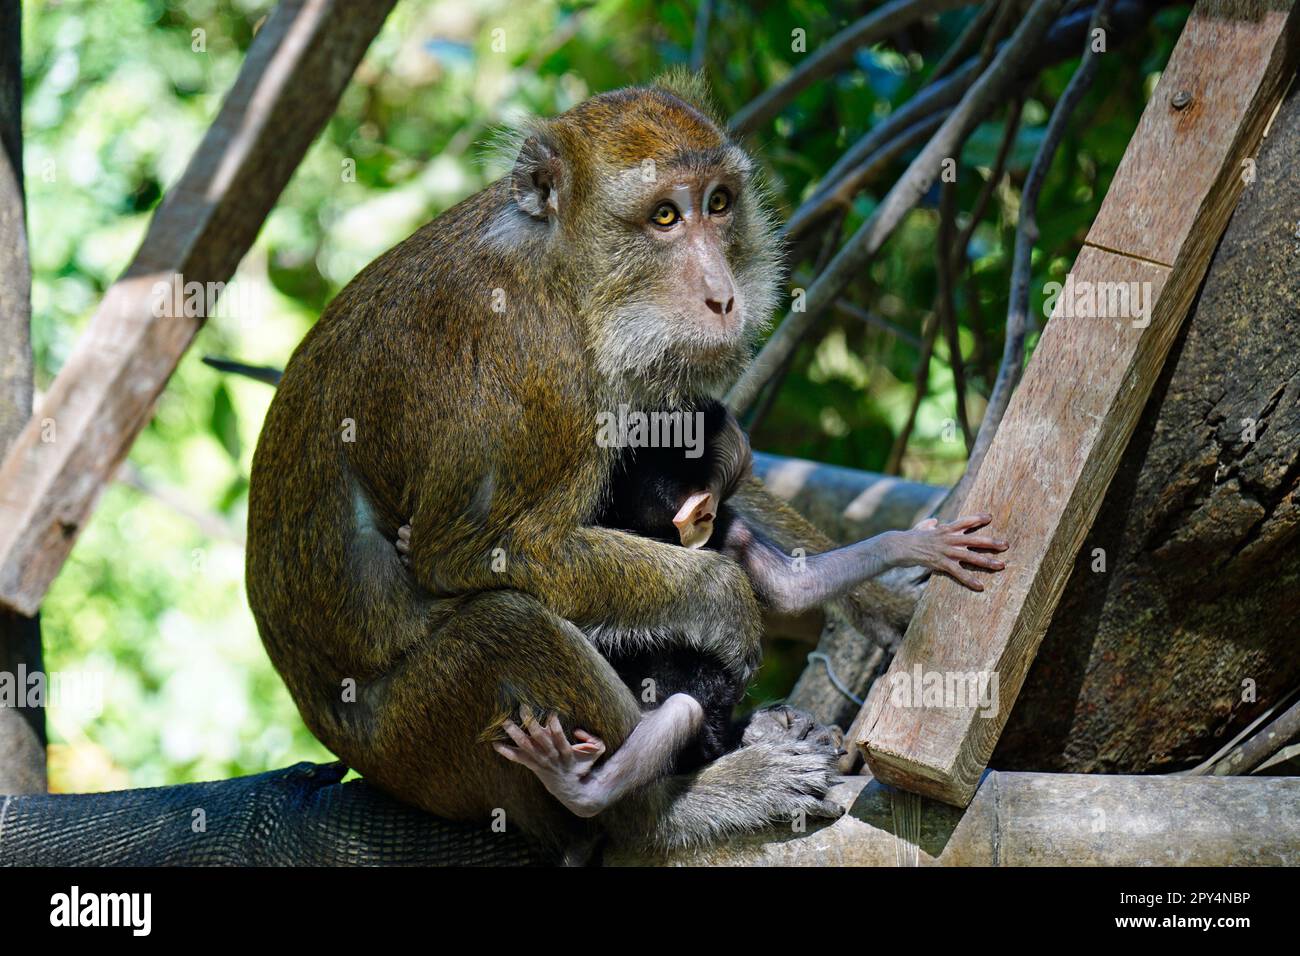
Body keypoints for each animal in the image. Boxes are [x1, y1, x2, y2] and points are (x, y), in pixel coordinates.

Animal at [245, 79, 1009, 859]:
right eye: (664, 217)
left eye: (719, 203)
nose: (724, 297)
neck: (559, 271)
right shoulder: (541, 378)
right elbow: (471, 551)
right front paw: (724, 599)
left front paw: (890, 600)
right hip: (418, 743)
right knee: (509, 629)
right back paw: (663, 808)